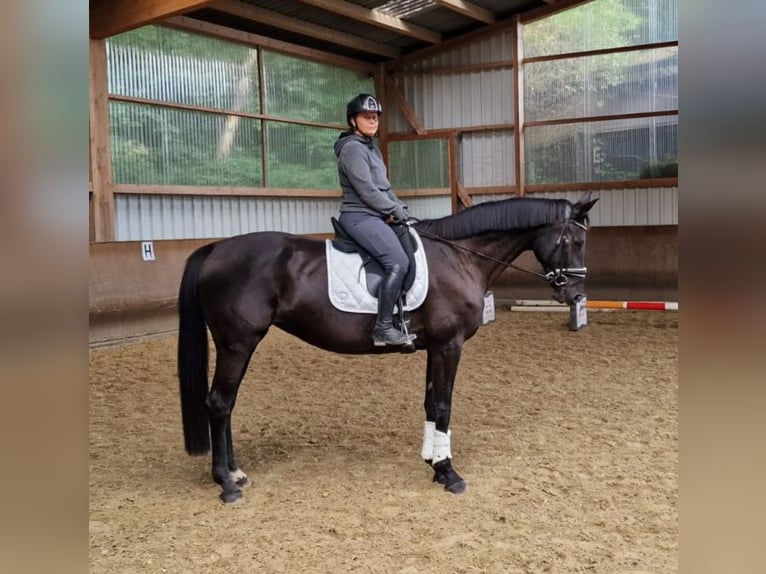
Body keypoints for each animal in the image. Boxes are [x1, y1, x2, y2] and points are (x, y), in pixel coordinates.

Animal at [180, 194, 600, 504]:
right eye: (576, 241)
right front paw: (449, 473)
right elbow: (444, 405)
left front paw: (433, 463)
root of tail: (215, 249)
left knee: (227, 404)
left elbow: (431, 404)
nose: (575, 295)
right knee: (219, 403)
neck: (460, 256)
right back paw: (226, 484)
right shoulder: (449, 345)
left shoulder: (435, 347)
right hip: (238, 342)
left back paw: (235, 473)